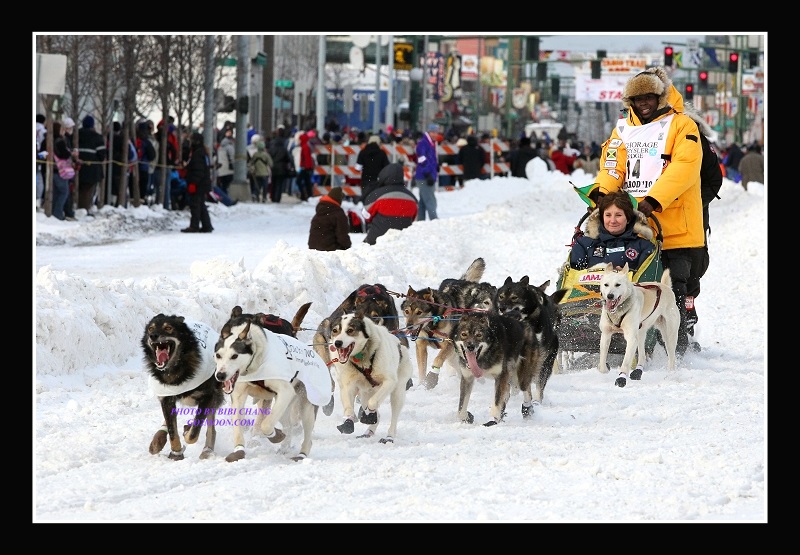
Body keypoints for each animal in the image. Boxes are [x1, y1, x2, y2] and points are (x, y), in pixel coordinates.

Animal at [141, 314, 225, 462]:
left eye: (168, 328)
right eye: (150, 328)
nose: (153, 336)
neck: (177, 368)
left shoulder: (208, 396)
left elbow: (194, 432)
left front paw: (187, 433)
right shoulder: (166, 398)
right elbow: (172, 430)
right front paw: (176, 453)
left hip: (215, 395)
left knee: (211, 427)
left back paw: (207, 450)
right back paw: (158, 440)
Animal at [212, 306, 332, 462]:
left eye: (234, 356)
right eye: (218, 355)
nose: (220, 375)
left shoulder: (284, 391)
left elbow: (266, 425)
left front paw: (274, 435)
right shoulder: (239, 395)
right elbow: (238, 424)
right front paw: (239, 449)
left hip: (305, 407)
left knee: (307, 436)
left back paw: (301, 454)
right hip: (284, 407)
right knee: (288, 426)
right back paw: (285, 447)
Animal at [326, 314, 412, 446]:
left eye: (350, 330)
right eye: (335, 330)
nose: (337, 343)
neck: (361, 358)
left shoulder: (389, 382)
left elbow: (373, 403)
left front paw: (369, 416)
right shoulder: (347, 385)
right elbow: (348, 408)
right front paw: (348, 422)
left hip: (397, 392)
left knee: (393, 415)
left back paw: (389, 436)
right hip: (364, 394)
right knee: (375, 412)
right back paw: (368, 432)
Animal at [400, 258, 488, 388]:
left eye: (419, 312)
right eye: (407, 311)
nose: (409, 326)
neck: (433, 323)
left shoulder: (449, 343)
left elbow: (437, 359)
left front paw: (432, 377)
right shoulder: (421, 346)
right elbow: (421, 369)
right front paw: (421, 385)